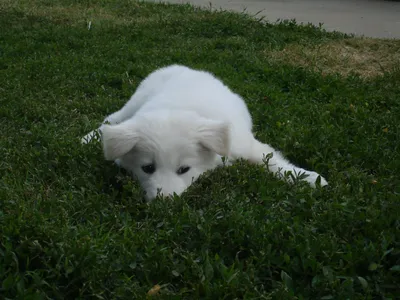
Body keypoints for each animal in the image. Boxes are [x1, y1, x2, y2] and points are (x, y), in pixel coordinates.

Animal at [82, 65, 328, 200]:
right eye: (147, 168)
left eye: (184, 169)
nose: (164, 202)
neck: (178, 107)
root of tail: (184, 68)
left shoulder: (244, 145)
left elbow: (274, 162)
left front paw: (309, 179)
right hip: (136, 99)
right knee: (114, 118)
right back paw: (89, 137)